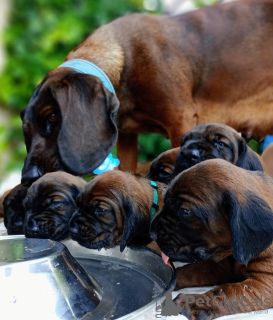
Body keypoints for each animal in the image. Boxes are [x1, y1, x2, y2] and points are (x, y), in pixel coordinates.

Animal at [151, 160, 273, 320]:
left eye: (185, 211)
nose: (151, 233)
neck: (231, 252)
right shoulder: (220, 267)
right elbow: (190, 270)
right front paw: (171, 281)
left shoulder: (264, 283)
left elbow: (226, 291)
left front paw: (194, 302)